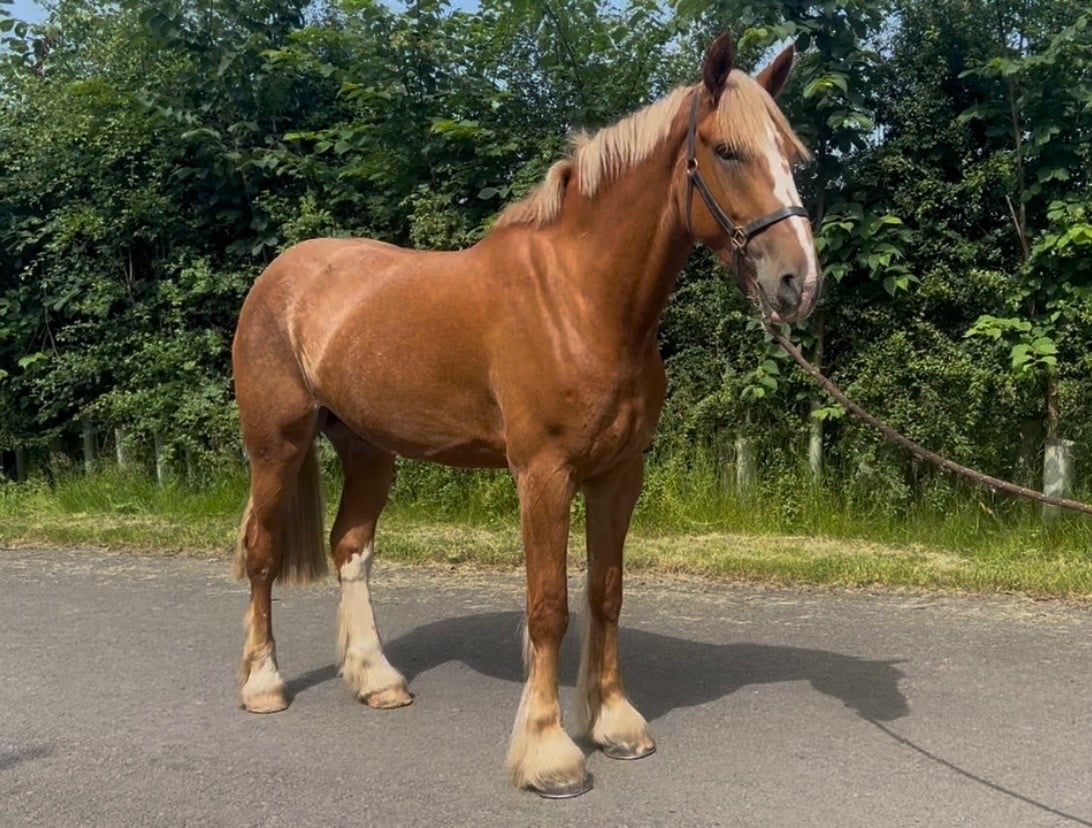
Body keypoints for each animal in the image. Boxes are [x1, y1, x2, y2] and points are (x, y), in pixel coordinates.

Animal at [231, 30, 820, 798]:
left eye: (791, 155)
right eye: (726, 151)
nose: (798, 282)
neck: (580, 299)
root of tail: (282, 275)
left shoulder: (618, 474)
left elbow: (605, 593)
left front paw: (615, 724)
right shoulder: (542, 474)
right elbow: (548, 608)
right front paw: (548, 754)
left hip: (369, 451)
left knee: (349, 548)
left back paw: (377, 680)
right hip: (277, 446)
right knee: (262, 553)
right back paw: (264, 684)